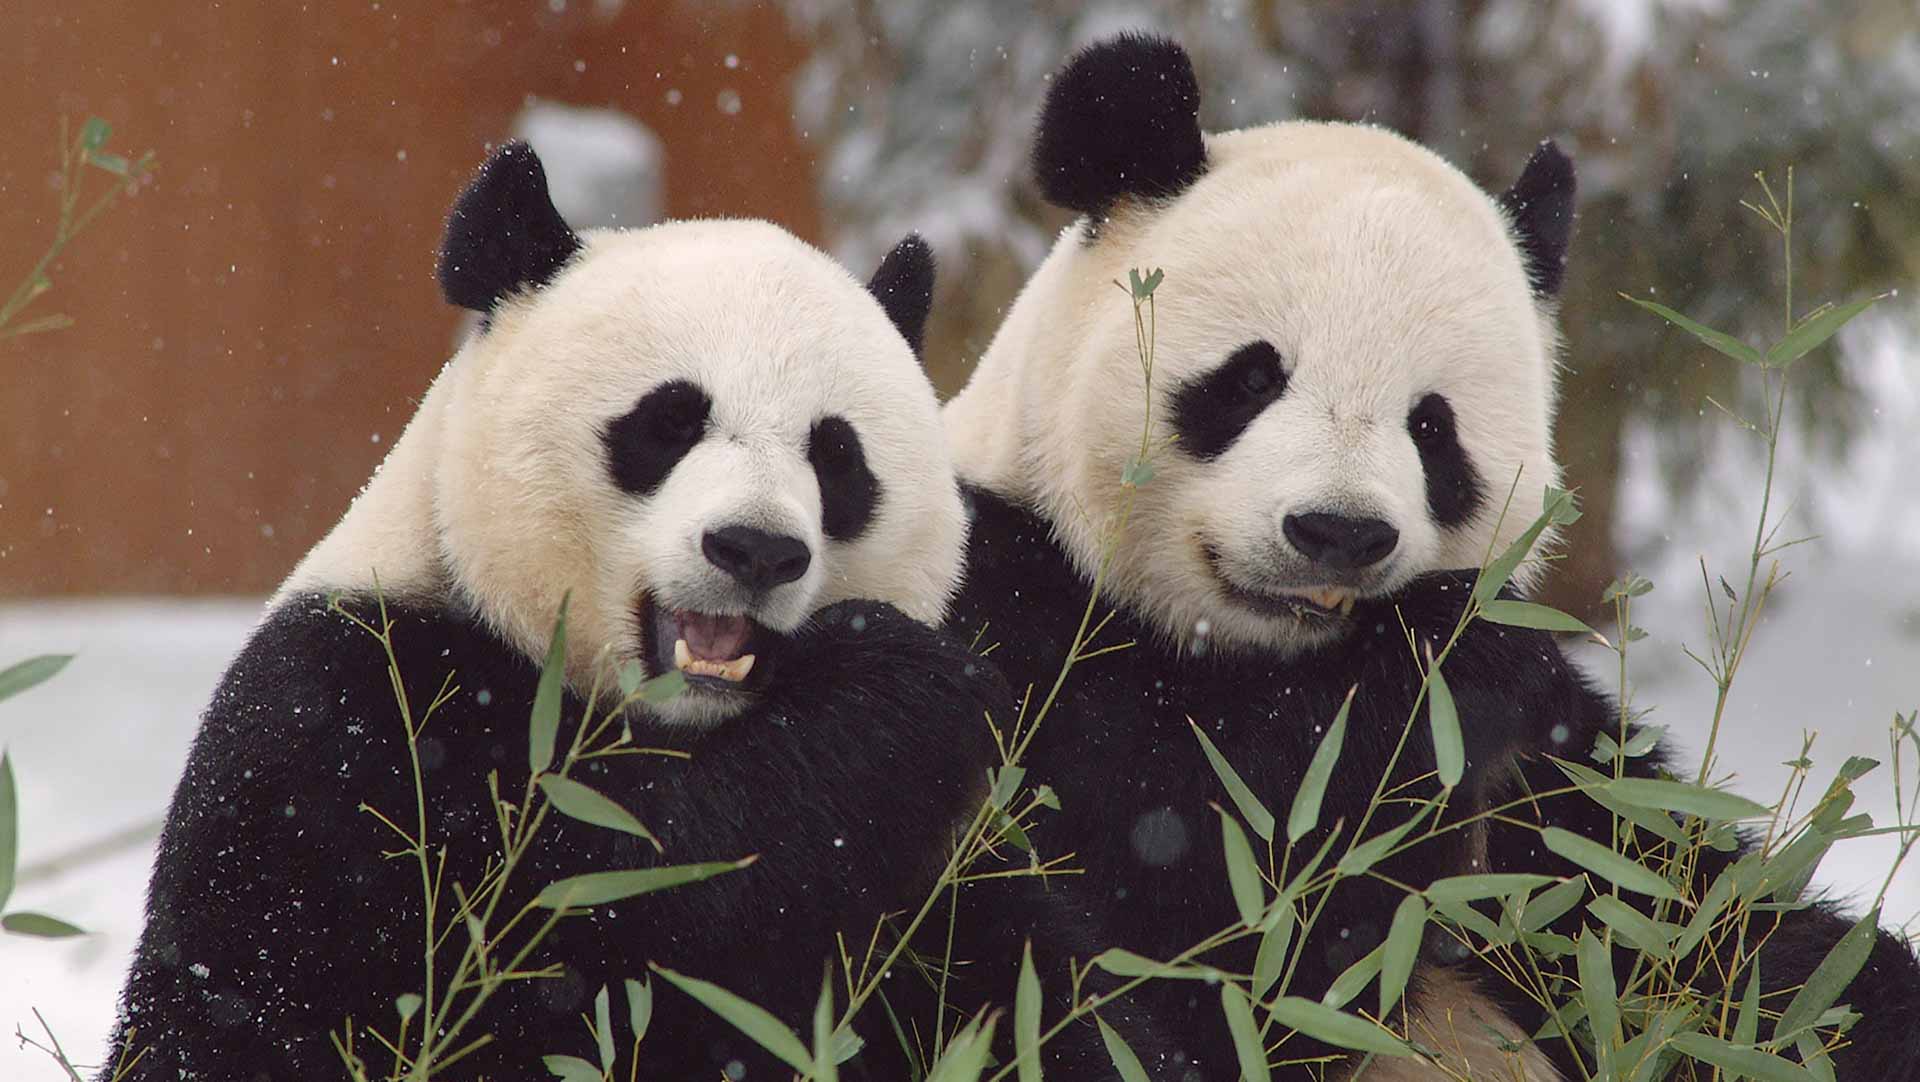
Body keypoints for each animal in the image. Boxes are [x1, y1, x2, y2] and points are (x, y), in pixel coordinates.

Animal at [108, 142, 1010, 1081]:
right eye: (669, 422)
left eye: (837, 456)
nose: (757, 550)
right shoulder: (348, 727)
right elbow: (591, 918)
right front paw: (899, 694)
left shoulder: (964, 875)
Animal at [938, 33, 1920, 1082]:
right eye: (1251, 379)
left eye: (1432, 428)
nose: (1338, 532)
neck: (1255, 660)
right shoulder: (1012, 615)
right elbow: (1199, 915)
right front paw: (1449, 661)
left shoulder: (1556, 793)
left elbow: (1708, 934)